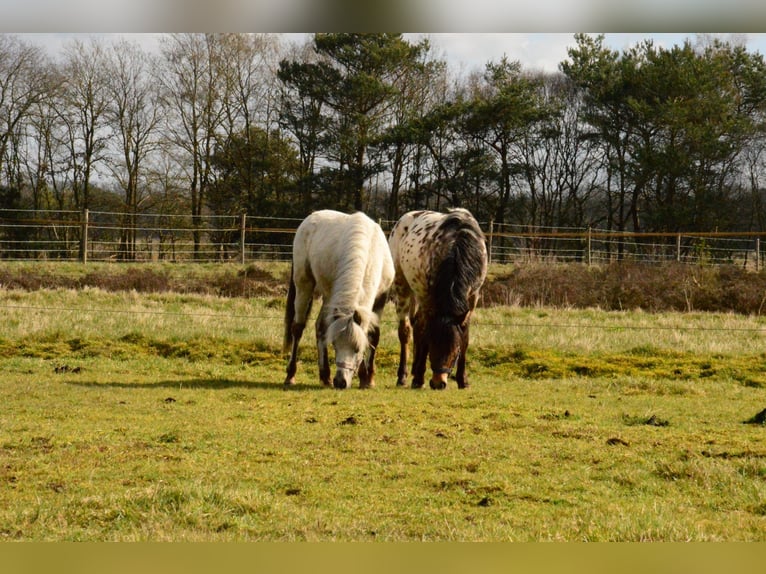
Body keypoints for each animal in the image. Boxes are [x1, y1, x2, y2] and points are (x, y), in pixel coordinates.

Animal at [283, 210, 394, 389]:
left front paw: (367, 378)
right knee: (298, 328)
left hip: (329, 298)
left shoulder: (380, 298)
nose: (340, 382)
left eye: (357, 349)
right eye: (335, 345)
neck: (369, 253)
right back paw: (291, 375)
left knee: (320, 327)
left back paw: (325, 376)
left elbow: (372, 335)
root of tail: (311, 217)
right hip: (304, 284)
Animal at [388, 208, 488, 390]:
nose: (438, 383)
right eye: (433, 347)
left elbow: (465, 337)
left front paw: (463, 380)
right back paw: (404, 376)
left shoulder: (472, 298)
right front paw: (418, 379)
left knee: (417, 325)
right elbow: (425, 333)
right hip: (402, 285)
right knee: (406, 331)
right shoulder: (429, 298)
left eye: (455, 351)